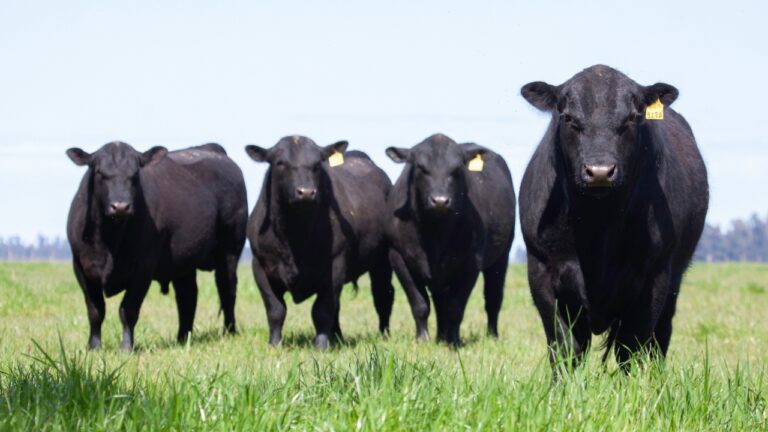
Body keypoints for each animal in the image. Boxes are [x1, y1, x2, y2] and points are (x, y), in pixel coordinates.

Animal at [66, 141, 248, 351]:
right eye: (99, 172)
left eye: (135, 174)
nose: (120, 206)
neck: (109, 240)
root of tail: (213, 149)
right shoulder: (81, 266)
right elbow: (95, 311)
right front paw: (93, 347)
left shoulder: (143, 267)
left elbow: (128, 310)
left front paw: (126, 347)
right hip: (184, 261)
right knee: (187, 297)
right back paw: (182, 337)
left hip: (230, 250)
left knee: (227, 289)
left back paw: (229, 332)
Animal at [245, 136, 394, 350]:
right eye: (280, 163)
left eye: (317, 164)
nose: (306, 192)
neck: (295, 234)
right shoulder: (260, 267)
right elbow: (275, 309)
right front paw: (274, 344)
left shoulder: (334, 266)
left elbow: (322, 310)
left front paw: (321, 346)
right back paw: (337, 336)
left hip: (383, 260)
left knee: (383, 296)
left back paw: (383, 334)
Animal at [385, 133, 516, 345]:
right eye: (421, 167)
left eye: (457, 169)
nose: (440, 201)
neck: (434, 234)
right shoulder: (398, 256)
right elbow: (420, 303)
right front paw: (423, 339)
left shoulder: (471, 263)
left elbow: (456, 307)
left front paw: (454, 340)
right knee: (440, 302)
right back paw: (440, 336)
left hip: (502, 256)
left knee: (493, 298)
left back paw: (491, 336)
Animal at [518, 65, 708, 369]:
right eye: (568, 117)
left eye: (632, 117)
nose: (599, 171)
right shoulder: (541, 270)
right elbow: (564, 346)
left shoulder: (654, 277)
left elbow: (630, 347)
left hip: (674, 279)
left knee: (660, 337)